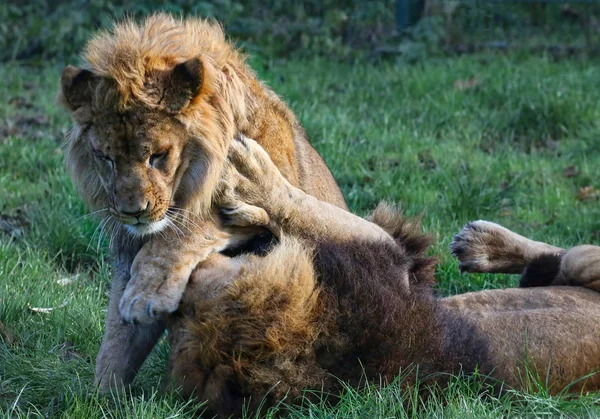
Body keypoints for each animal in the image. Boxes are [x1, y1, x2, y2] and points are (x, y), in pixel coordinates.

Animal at [57, 13, 346, 394]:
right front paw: (99, 398)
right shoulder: (128, 250)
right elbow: (116, 342)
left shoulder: (262, 193)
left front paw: (147, 291)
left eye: (158, 155)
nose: (133, 212)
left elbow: (191, 228)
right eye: (106, 158)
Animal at [162, 138, 600, 416]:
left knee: (560, 255)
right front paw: (253, 189)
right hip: (579, 267)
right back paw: (485, 247)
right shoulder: (389, 266)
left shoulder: (390, 264)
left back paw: (483, 243)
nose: (171, 300)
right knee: (562, 258)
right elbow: (309, 210)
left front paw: (250, 191)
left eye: (184, 312)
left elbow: (305, 210)